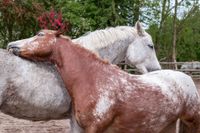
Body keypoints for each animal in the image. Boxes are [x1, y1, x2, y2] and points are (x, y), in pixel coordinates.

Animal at [8, 29, 200, 132]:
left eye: (40, 34)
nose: (11, 45)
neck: (93, 78)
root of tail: (187, 78)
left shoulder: (94, 127)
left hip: (193, 121)